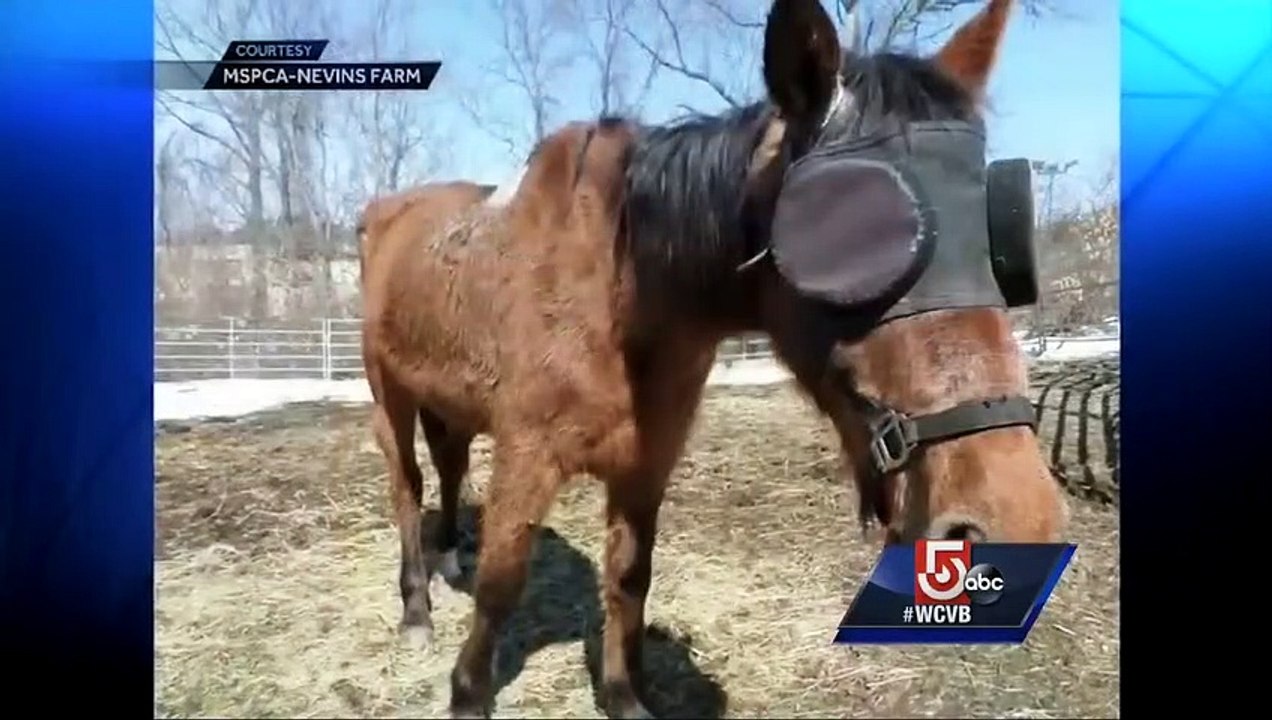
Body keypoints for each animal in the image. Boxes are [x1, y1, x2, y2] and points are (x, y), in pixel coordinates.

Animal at [358, 0, 1067, 716]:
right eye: (849, 233)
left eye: (996, 231)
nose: (1018, 522)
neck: (618, 292)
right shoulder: (527, 454)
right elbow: (502, 584)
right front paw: (468, 692)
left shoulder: (646, 463)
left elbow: (629, 579)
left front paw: (624, 695)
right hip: (390, 395)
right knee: (407, 488)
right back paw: (416, 609)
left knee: (448, 467)